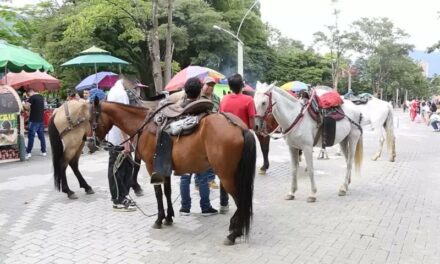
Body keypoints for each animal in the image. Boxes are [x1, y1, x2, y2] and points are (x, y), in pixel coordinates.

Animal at [90, 100, 256, 244]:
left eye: (91, 118)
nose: (92, 142)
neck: (143, 125)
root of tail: (239, 127)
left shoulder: (152, 167)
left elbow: (158, 193)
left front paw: (159, 219)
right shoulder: (165, 168)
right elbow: (168, 192)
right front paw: (169, 217)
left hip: (226, 175)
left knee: (240, 200)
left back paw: (234, 234)